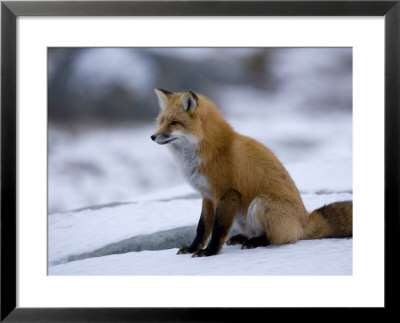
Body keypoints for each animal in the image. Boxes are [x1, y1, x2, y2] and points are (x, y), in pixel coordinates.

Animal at [152, 88, 352, 258]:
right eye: (161, 121)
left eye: (174, 123)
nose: (152, 137)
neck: (210, 150)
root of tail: (305, 221)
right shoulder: (207, 195)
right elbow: (202, 228)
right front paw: (193, 248)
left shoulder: (226, 192)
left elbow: (218, 228)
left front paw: (210, 252)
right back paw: (243, 238)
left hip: (261, 203)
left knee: (281, 238)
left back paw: (256, 242)